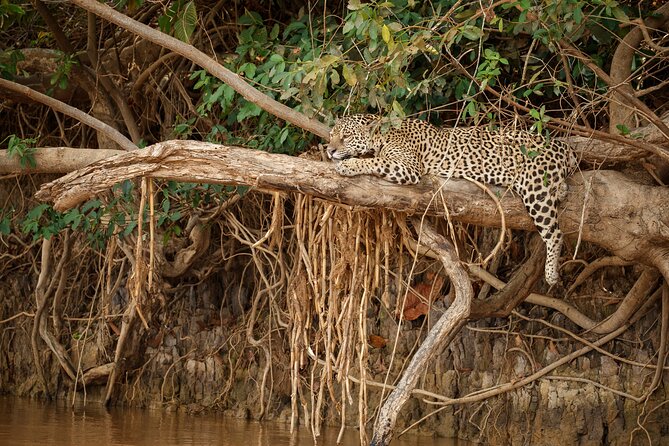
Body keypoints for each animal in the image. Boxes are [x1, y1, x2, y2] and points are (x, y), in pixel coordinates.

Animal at [326, 114, 578, 286]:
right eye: (331, 135)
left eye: (346, 136)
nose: (329, 150)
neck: (382, 135)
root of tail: (564, 146)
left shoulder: (408, 168)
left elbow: (374, 161)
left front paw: (348, 165)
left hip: (535, 189)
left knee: (555, 234)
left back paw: (551, 274)